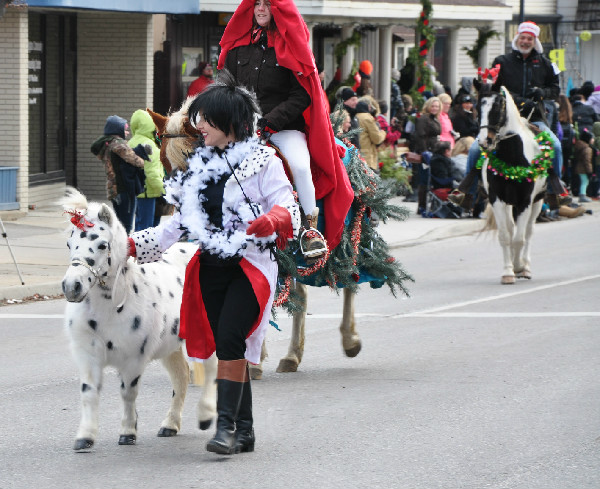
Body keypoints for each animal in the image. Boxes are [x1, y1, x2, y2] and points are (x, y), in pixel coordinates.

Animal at [60, 187, 218, 450]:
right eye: (69, 243)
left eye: (102, 244)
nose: (72, 286)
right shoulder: (88, 355)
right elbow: (89, 393)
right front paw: (85, 437)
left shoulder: (133, 358)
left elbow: (128, 393)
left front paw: (127, 432)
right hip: (171, 346)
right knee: (181, 377)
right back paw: (170, 424)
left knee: (212, 370)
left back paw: (207, 415)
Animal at [478, 86, 548, 284]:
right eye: (477, 108)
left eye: (497, 108)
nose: (484, 141)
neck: (511, 158)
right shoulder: (497, 199)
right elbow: (505, 236)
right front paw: (508, 272)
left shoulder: (525, 201)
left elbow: (519, 238)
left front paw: (518, 268)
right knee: (510, 228)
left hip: (538, 201)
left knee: (529, 232)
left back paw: (526, 267)